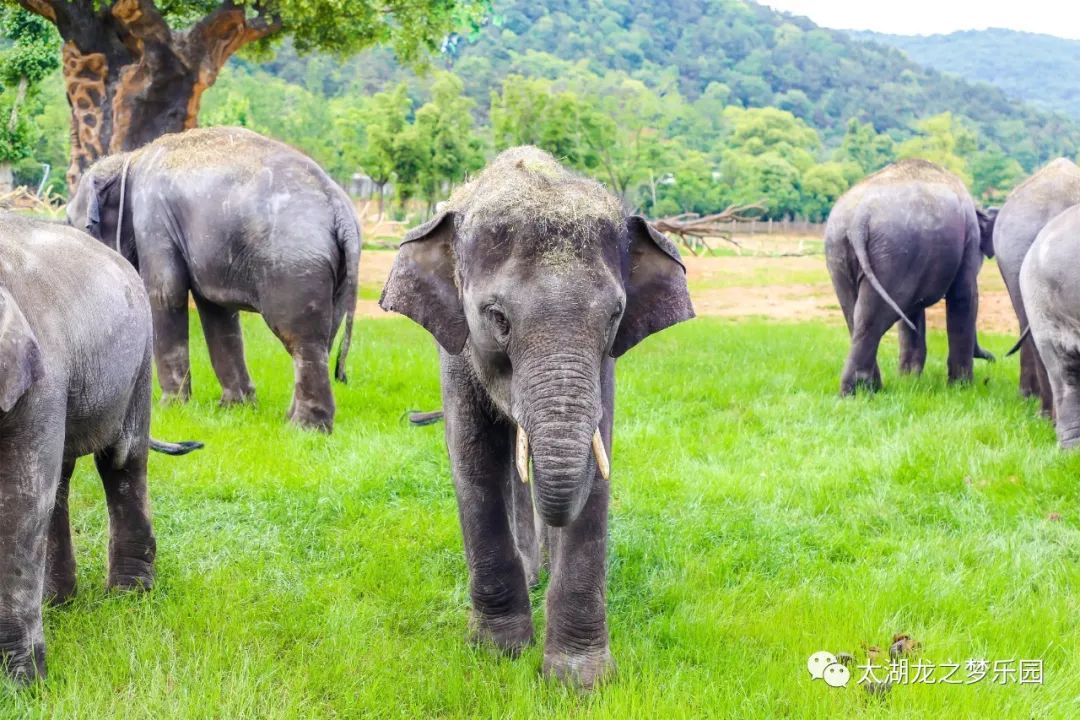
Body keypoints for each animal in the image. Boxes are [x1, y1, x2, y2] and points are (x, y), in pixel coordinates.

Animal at [0, 214, 200, 683]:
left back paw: (129, 598)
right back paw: (58, 602)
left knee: (122, 461)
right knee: (62, 477)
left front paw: (23, 685)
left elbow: (20, 504)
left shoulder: (39, 380)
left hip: (140, 358)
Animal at [66, 126, 361, 432]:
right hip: (334, 272)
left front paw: (170, 407)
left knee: (302, 340)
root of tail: (340, 209)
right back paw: (293, 419)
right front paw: (235, 407)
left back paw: (303, 428)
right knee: (325, 338)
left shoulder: (153, 218)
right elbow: (216, 310)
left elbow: (165, 294)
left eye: (73, 223)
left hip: (295, 265)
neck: (130, 159)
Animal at [380, 147, 694, 688]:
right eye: (497, 318)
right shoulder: (456, 349)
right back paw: (530, 576)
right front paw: (498, 652)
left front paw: (578, 683)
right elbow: (474, 462)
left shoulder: (604, 368)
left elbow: (596, 472)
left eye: (614, 317)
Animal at [825, 159, 996, 395]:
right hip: (893, 252)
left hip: (840, 253)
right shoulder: (969, 240)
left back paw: (866, 390)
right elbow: (964, 297)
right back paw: (858, 392)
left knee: (855, 315)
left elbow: (912, 313)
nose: (992, 359)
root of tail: (860, 217)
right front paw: (961, 389)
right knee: (872, 318)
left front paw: (909, 380)